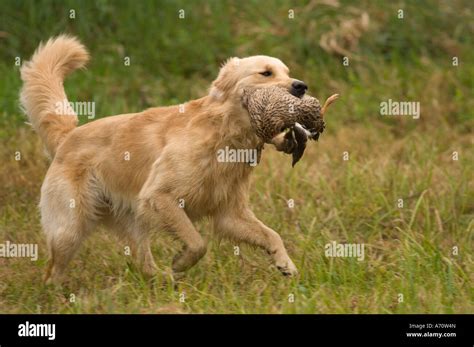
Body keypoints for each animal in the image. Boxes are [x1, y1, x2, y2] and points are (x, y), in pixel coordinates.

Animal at [20, 35, 310, 286]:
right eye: (266, 73)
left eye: (287, 72)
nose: (301, 86)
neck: (226, 136)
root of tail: (68, 136)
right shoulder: (160, 196)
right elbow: (197, 242)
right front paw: (181, 262)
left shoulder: (229, 213)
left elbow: (271, 234)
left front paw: (286, 264)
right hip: (70, 228)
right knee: (52, 271)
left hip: (132, 221)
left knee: (143, 264)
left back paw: (164, 281)